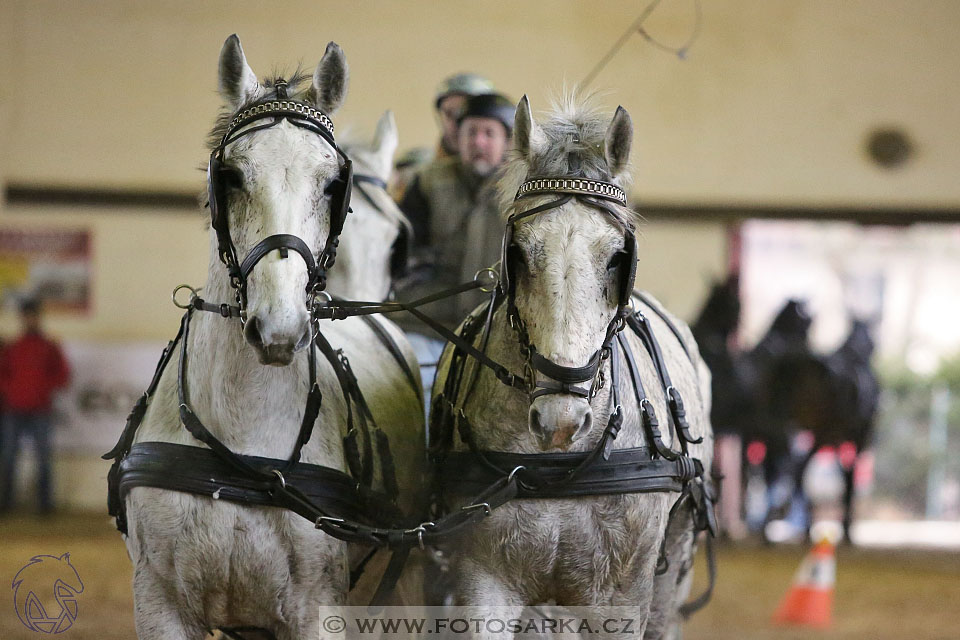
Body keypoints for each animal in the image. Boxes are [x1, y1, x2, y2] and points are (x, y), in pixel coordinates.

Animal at [117, 36, 424, 640]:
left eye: (332, 184)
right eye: (232, 176)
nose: (279, 328)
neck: (243, 438)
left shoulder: (317, 609)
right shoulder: (159, 601)